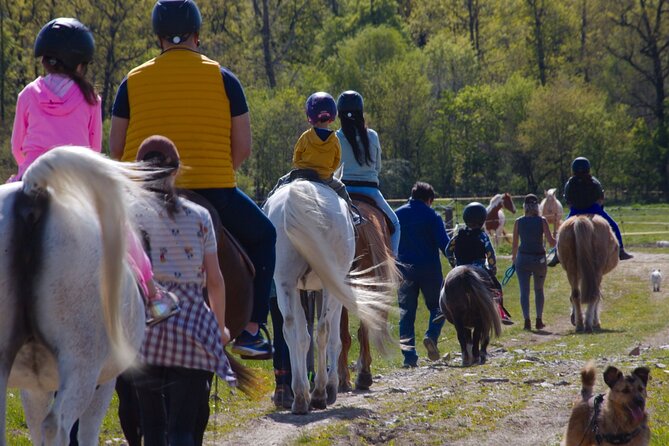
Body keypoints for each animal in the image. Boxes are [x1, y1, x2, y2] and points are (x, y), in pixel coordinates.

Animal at [0, 147, 149, 446]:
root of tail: (33, 193)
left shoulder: (36, 386)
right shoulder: (103, 382)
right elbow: (87, 431)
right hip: (82, 364)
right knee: (56, 426)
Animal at [264, 179, 392, 414]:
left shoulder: (302, 289)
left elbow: (303, 335)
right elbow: (336, 336)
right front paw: (332, 384)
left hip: (285, 281)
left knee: (292, 330)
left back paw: (301, 396)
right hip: (332, 285)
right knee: (326, 330)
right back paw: (324, 391)